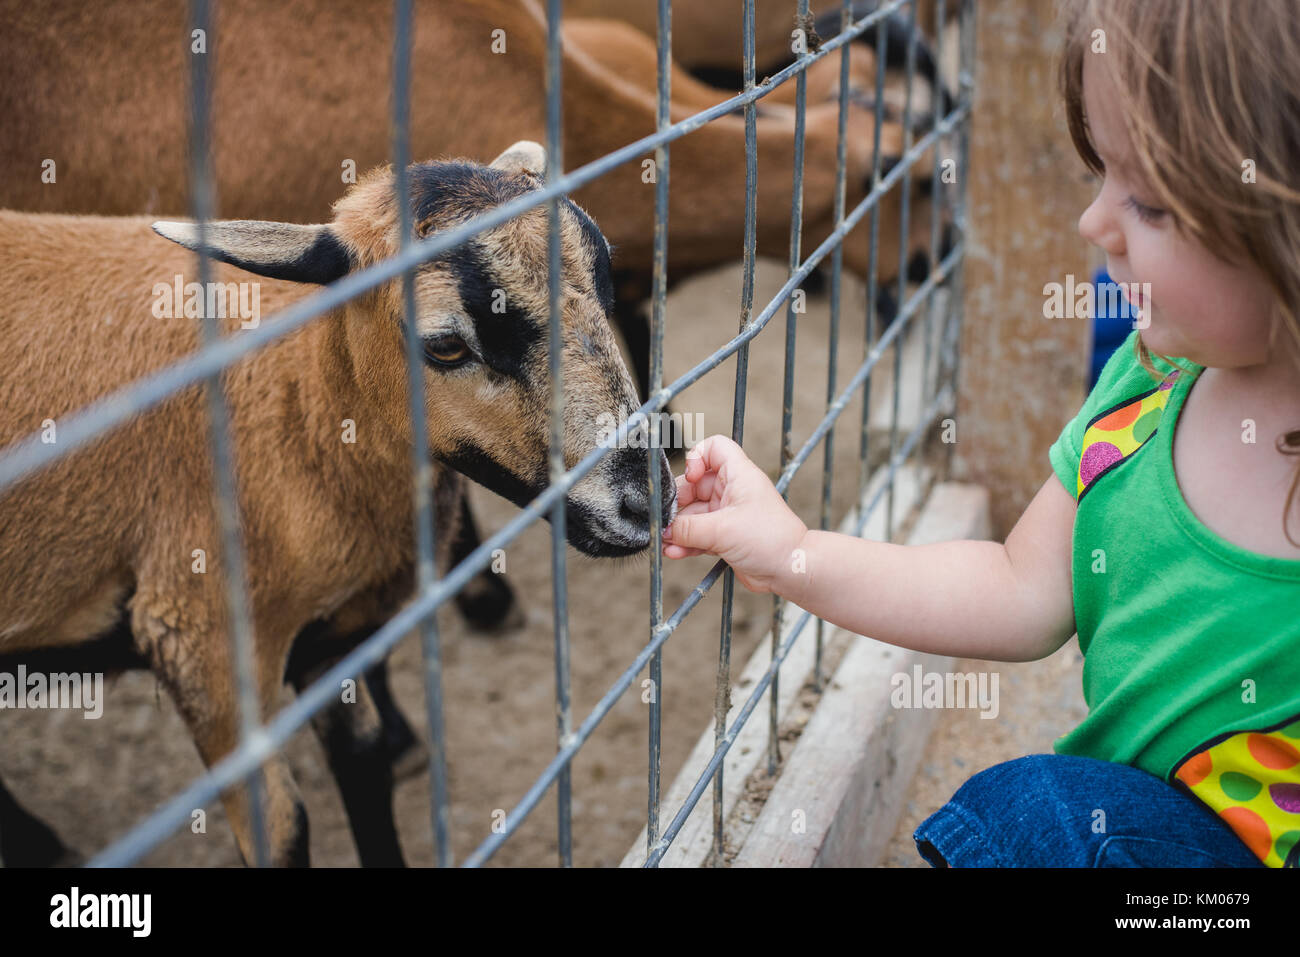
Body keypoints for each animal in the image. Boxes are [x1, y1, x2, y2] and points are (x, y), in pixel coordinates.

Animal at [0, 141, 670, 868]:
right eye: (445, 344)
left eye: (605, 286)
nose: (647, 500)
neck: (303, 401)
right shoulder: (198, 638)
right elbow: (283, 830)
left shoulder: (330, 642)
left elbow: (364, 762)